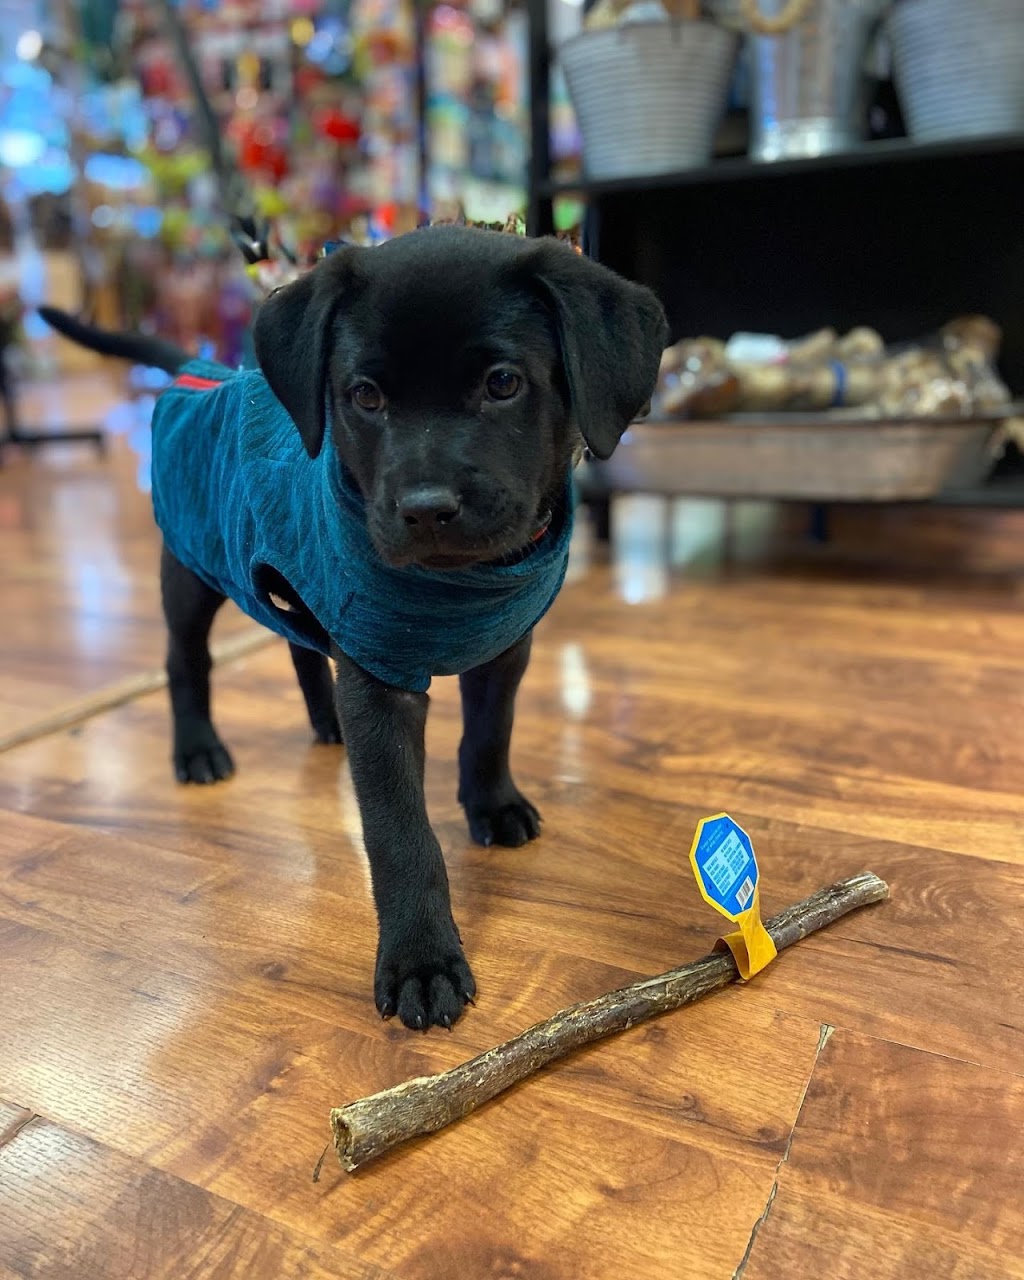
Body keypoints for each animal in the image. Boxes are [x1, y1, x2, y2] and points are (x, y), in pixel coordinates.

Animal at [41, 225, 668, 1030]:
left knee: (301, 648)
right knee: (186, 661)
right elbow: (400, 831)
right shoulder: (379, 676)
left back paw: (323, 722)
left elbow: (489, 733)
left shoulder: (503, 647)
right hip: (193, 568)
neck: (456, 585)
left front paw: (492, 804)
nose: (426, 508)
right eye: (365, 397)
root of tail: (196, 371)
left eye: (503, 384)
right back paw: (198, 749)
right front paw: (421, 959)